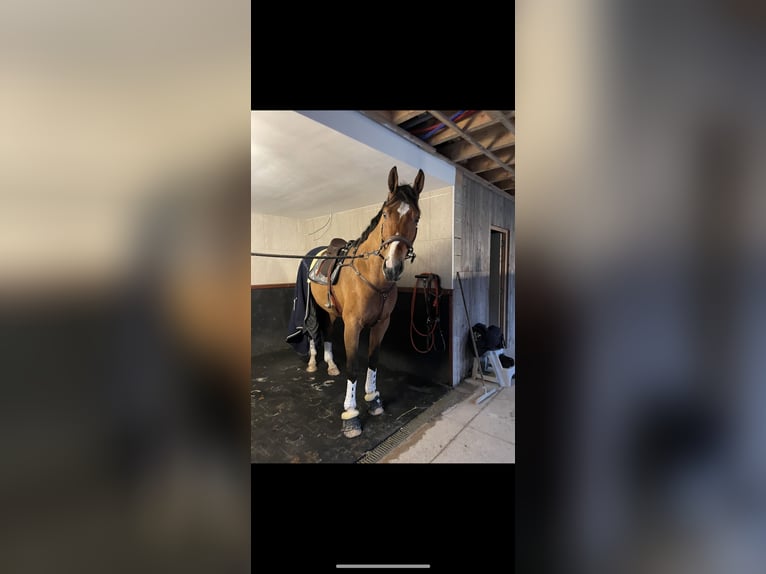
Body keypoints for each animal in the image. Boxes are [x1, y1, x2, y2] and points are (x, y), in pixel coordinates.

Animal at [304, 166, 424, 438]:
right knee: (312, 332)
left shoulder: (381, 324)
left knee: (327, 332)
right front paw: (351, 416)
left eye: (416, 217)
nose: (392, 267)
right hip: (313, 308)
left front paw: (373, 399)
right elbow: (353, 367)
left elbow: (373, 360)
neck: (372, 276)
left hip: (332, 312)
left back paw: (331, 365)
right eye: (386, 214)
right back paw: (313, 362)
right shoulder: (353, 326)